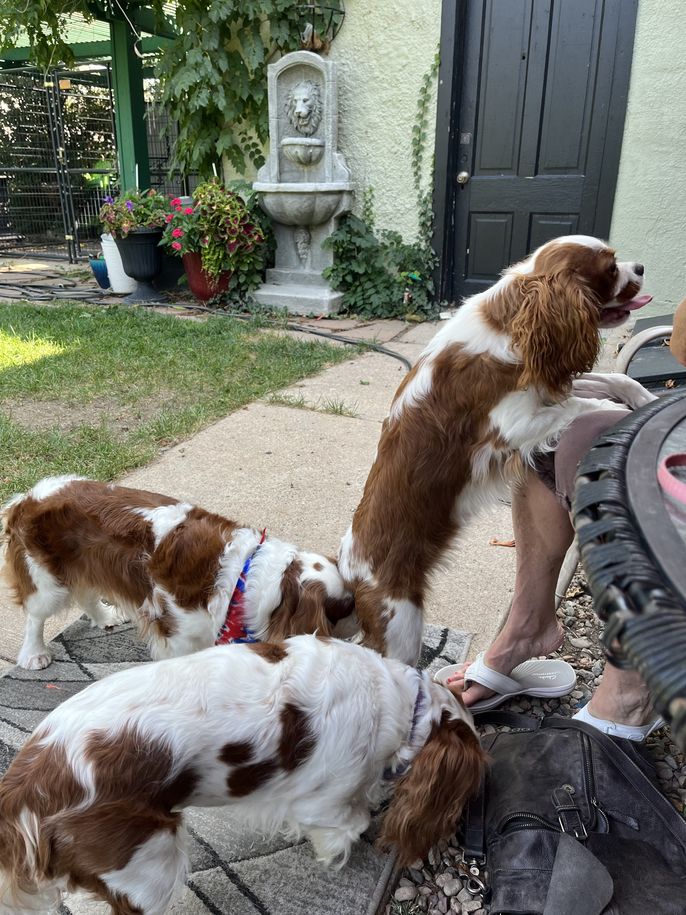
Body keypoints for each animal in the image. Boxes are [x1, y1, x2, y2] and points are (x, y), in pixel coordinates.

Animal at [1, 476, 354, 670]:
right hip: (48, 583)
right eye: (346, 608)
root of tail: (27, 498)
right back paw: (34, 654)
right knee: (36, 616)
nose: (361, 619)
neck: (243, 581)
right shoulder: (178, 634)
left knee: (87, 594)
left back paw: (105, 618)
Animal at [338, 235, 656, 663]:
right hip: (401, 630)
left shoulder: (545, 380)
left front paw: (644, 398)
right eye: (610, 268)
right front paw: (619, 414)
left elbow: (610, 379)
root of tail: (349, 573)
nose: (640, 267)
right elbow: (582, 406)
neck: (512, 319)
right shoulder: (511, 426)